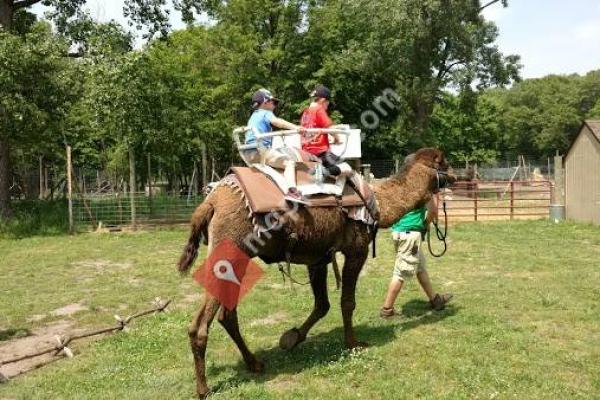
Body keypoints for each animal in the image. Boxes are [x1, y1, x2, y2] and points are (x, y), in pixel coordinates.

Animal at [178, 147, 454, 396]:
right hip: (230, 251)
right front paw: (354, 344)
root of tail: (211, 201)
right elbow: (347, 302)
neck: (377, 203)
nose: (454, 177)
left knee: (225, 315)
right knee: (203, 325)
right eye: (444, 162)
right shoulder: (356, 249)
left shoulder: (318, 257)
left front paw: (292, 337)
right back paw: (204, 389)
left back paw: (255, 363)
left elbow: (322, 304)